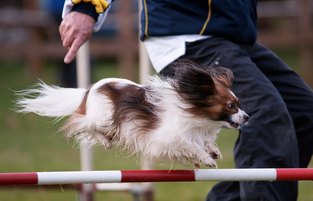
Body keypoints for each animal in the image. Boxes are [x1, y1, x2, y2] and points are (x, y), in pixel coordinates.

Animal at [15, 59, 247, 168]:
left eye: (238, 103)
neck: (197, 114)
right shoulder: (164, 139)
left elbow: (202, 142)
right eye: (231, 106)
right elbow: (189, 145)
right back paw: (104, 140)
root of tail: (89, 90)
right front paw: (206, 158)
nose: (247, 117)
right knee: (82, 124)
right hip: (102, 117)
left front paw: (212, 150)